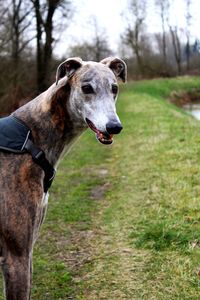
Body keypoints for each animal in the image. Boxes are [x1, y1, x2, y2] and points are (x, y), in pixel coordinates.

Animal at [0, 55, 126, 298]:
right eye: (86, 88)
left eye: (114, 88)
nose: (114, 127)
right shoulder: (16, 255)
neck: (32, 138)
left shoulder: (27, 249)